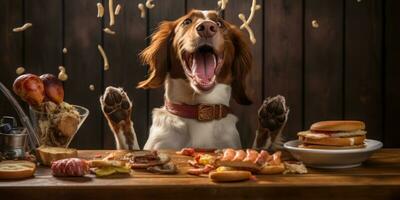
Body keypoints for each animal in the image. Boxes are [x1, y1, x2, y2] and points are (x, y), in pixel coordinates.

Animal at [99, 9, 290, 150]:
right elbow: (128, 147)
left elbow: (261, 149)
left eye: (219, 24)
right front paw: (118, 111)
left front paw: (271, 119)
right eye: (187, 22)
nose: (207, 27)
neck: (199, 108)